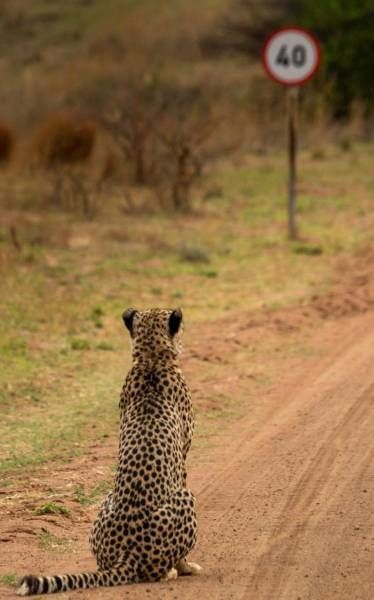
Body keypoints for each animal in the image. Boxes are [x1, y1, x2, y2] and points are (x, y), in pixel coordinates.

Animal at [16, 310, 202, 596]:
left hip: (105, 503)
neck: (150, 360)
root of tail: (127, 554)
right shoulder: (182, 458)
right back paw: (171, 572)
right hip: (186, 497)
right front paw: (186, 567)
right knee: (155, 572)